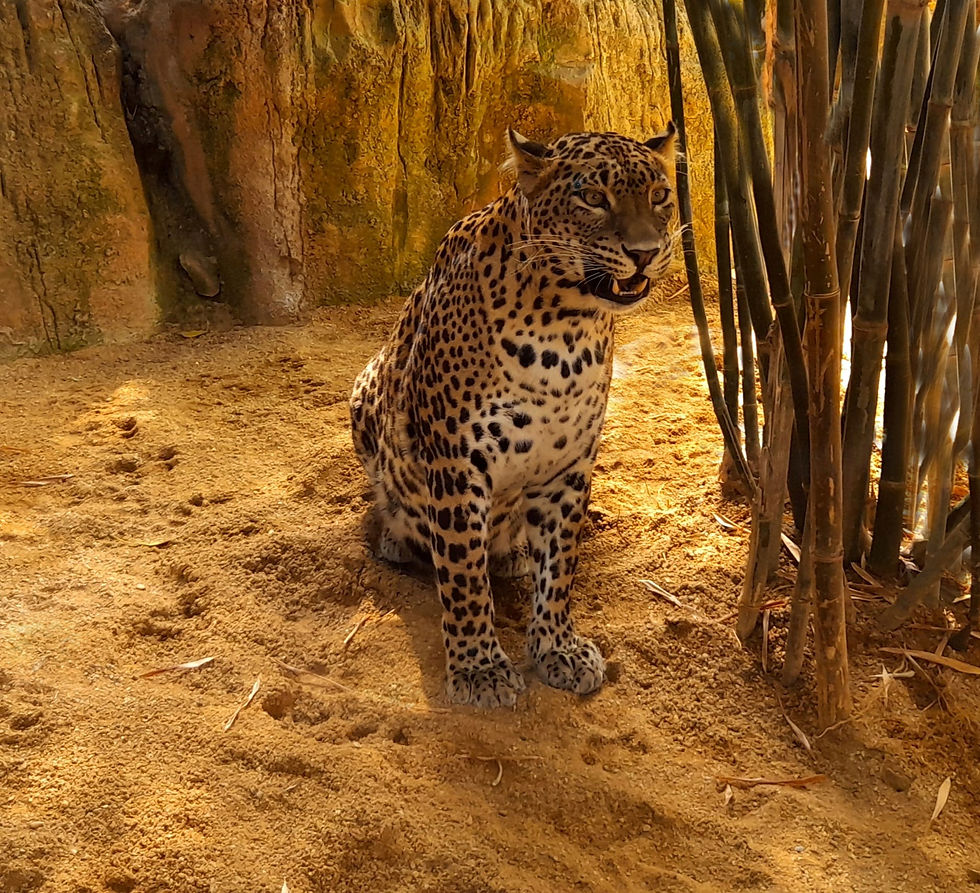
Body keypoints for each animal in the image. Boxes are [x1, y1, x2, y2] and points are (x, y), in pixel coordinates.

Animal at [350, 124, 678, 708]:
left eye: (660, 196)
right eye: (594, 198)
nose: (644, 253)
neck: (566, 330)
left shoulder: (570, 465)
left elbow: (560, 567)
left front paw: (558, 649)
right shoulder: (457, 465)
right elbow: (462, 575)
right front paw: (479, 667)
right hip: (364, 391)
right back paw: (396, 538)